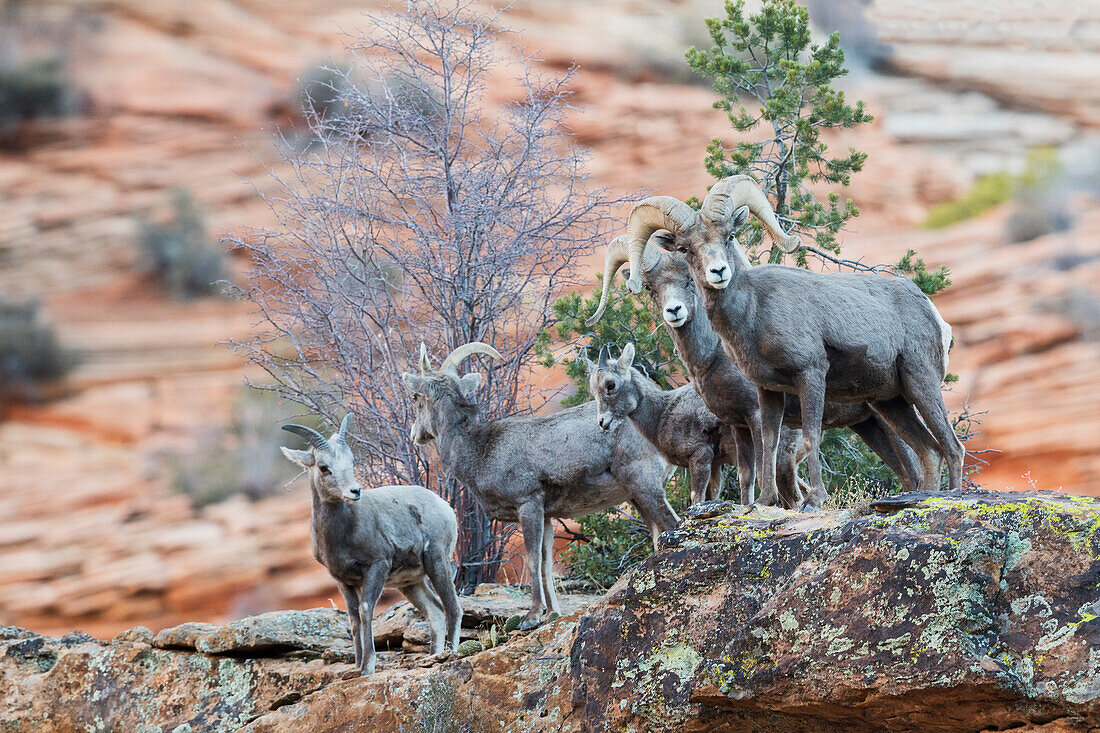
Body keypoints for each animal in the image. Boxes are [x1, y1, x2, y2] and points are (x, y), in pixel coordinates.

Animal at [279, 413, 464, 677]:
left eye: (351, 462)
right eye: (324, 467)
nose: (355, 491)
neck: (343, 533)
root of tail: (445, 507)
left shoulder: (376, 567)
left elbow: (366, 610)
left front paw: (367, 667)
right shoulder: (343, 580)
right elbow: (354, 618)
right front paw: (355, 667)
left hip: (437, 562)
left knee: (453, 608)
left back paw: (449, 653)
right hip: (411, 583)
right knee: (435, 611)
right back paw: (433, 655)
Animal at [404, 338, 677, 625]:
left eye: (415, 398)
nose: (415, 434)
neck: (480, 449)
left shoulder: (529, 505)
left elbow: (533, 560)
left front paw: (532, 616)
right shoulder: (546, 517)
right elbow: (546, 565)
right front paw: (553, 613)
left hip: (644, 485)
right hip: (638, 496)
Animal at [589, 236, 924, 506]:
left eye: (688, 281)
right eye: (650, 288)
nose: (674, 312)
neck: (712, 357)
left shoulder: (756, 414)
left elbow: (763, 473)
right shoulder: (736, 424)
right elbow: (745, 481)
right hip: (868, 423)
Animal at [624, 174, 959, 506]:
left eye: (729, 237)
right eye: (686, 248)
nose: (718, 271)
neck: (753, 311)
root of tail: (933, 312)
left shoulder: (809, 375)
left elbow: (808, 438)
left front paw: (816, 499)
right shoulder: (767, 394)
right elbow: (767, 449)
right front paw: (764, 502)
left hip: (920, 383)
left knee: (951, 447)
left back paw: (955, 494)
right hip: (888, 405)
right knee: (929, 452)